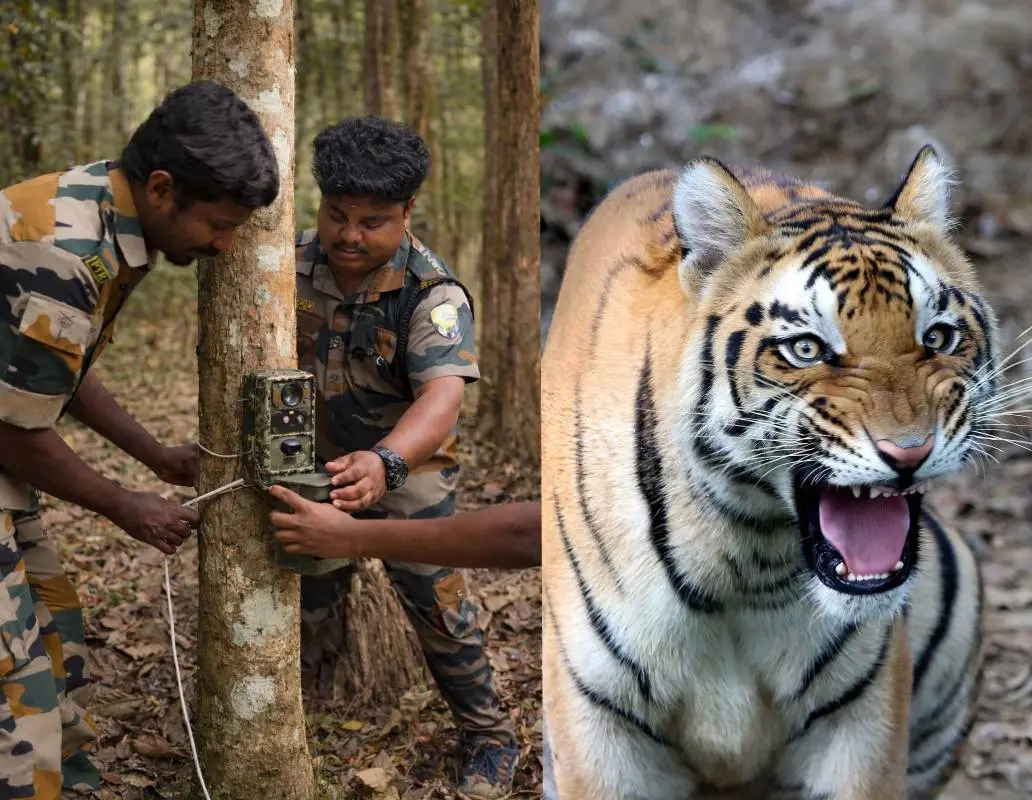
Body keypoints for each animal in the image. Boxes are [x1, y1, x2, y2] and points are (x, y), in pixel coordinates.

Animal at [541, 147, 991, 800]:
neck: (752, 561)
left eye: (937, 337)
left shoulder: (862, 722)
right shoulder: (599, 727)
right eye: (806, 349)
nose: (909, 452)